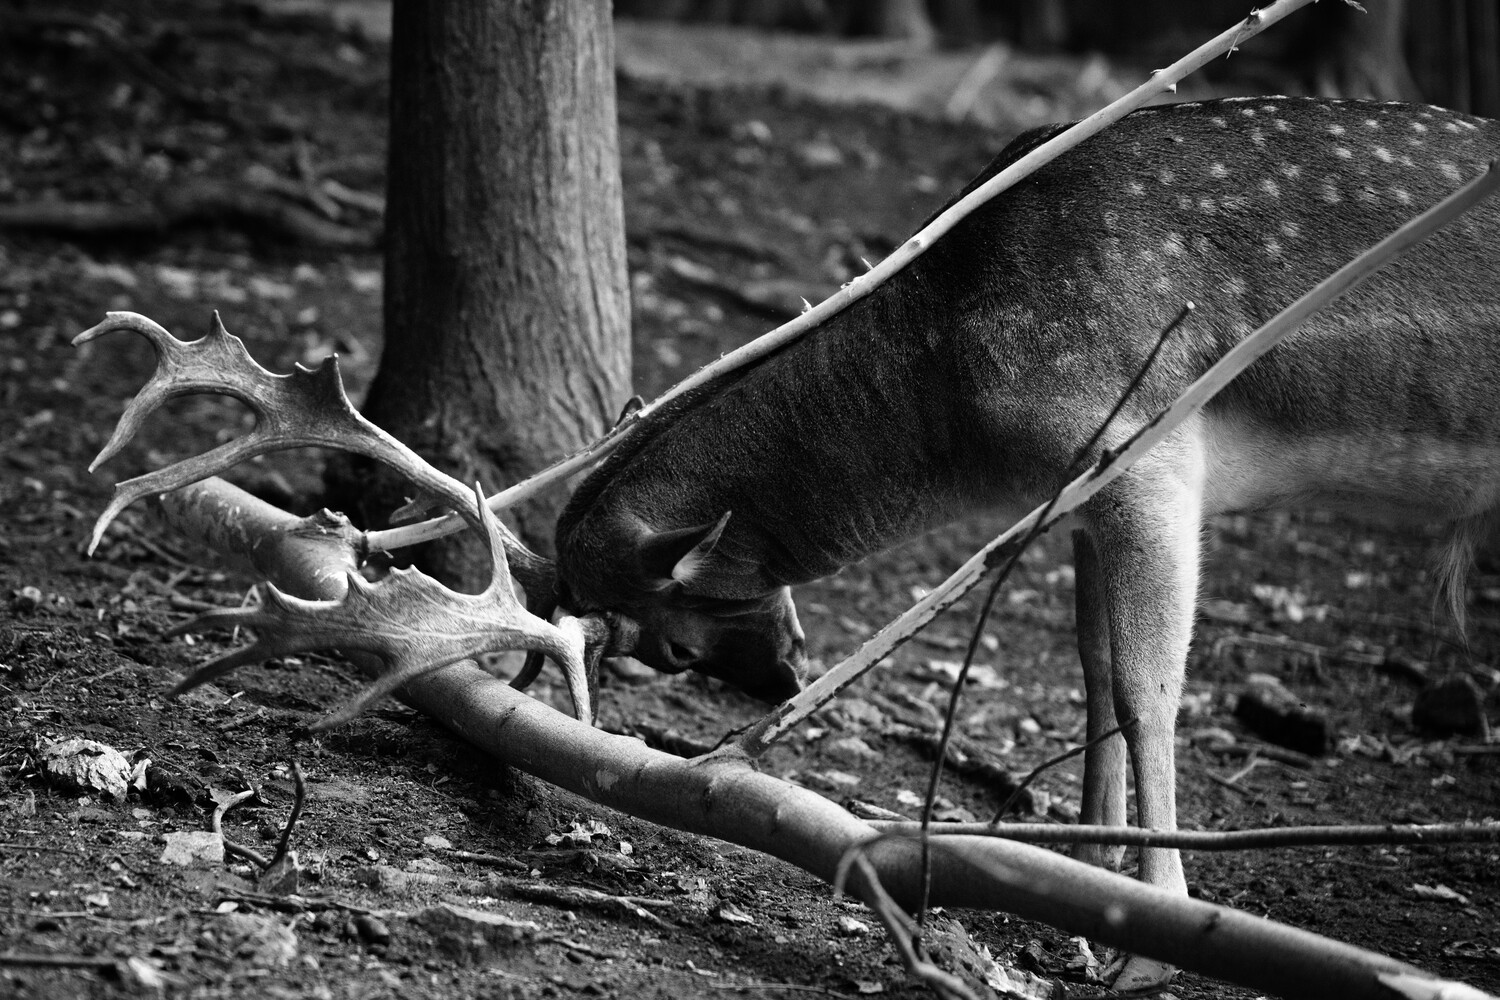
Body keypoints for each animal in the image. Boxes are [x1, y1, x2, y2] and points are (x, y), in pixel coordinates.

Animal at [550, 95, 1500, 983]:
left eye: (674, 650)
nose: (788, 672)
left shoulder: (1148, 456)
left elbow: (1148, 692)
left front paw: (1151, 943)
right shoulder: (1078, 501)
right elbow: (1096, 671)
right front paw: (1089, 877)